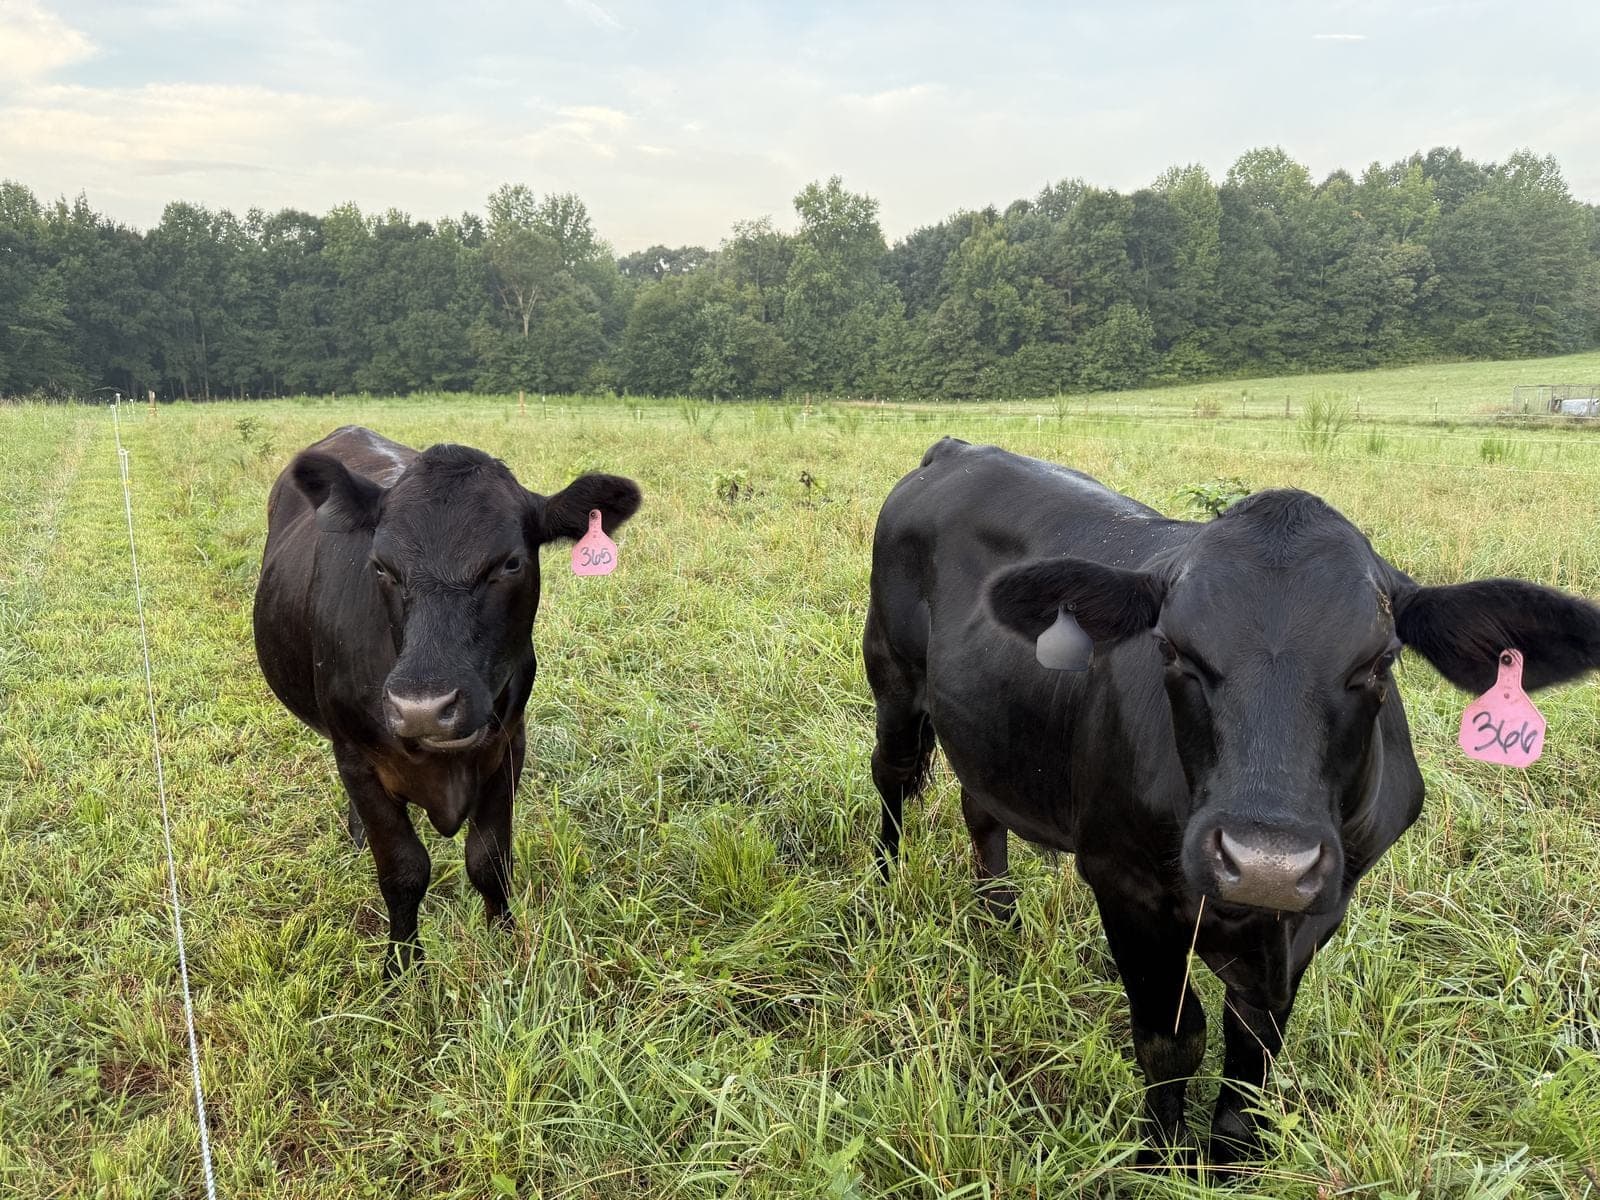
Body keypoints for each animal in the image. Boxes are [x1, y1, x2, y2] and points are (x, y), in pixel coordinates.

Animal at [253, 426, 641, 975]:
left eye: (509, 563)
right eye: (381, 567)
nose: (423, 708)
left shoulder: (507, 747)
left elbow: (490, 860)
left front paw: (505, 943)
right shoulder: (358, 758)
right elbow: (403, 870)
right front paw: (402, 968)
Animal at [864, 437, 1600, 1162]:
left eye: (1380, 662)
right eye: (1172, 650)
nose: (1266, 862)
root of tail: (958, 450)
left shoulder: (1323, 902)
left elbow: (1254, 1043)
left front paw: (1232, 1159)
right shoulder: (1123, 880)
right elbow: (1171, 1040)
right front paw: (1163, 1160)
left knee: (980, 809)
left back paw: (999, 920)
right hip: (893, 677)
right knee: (892, 779)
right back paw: (884, 889)